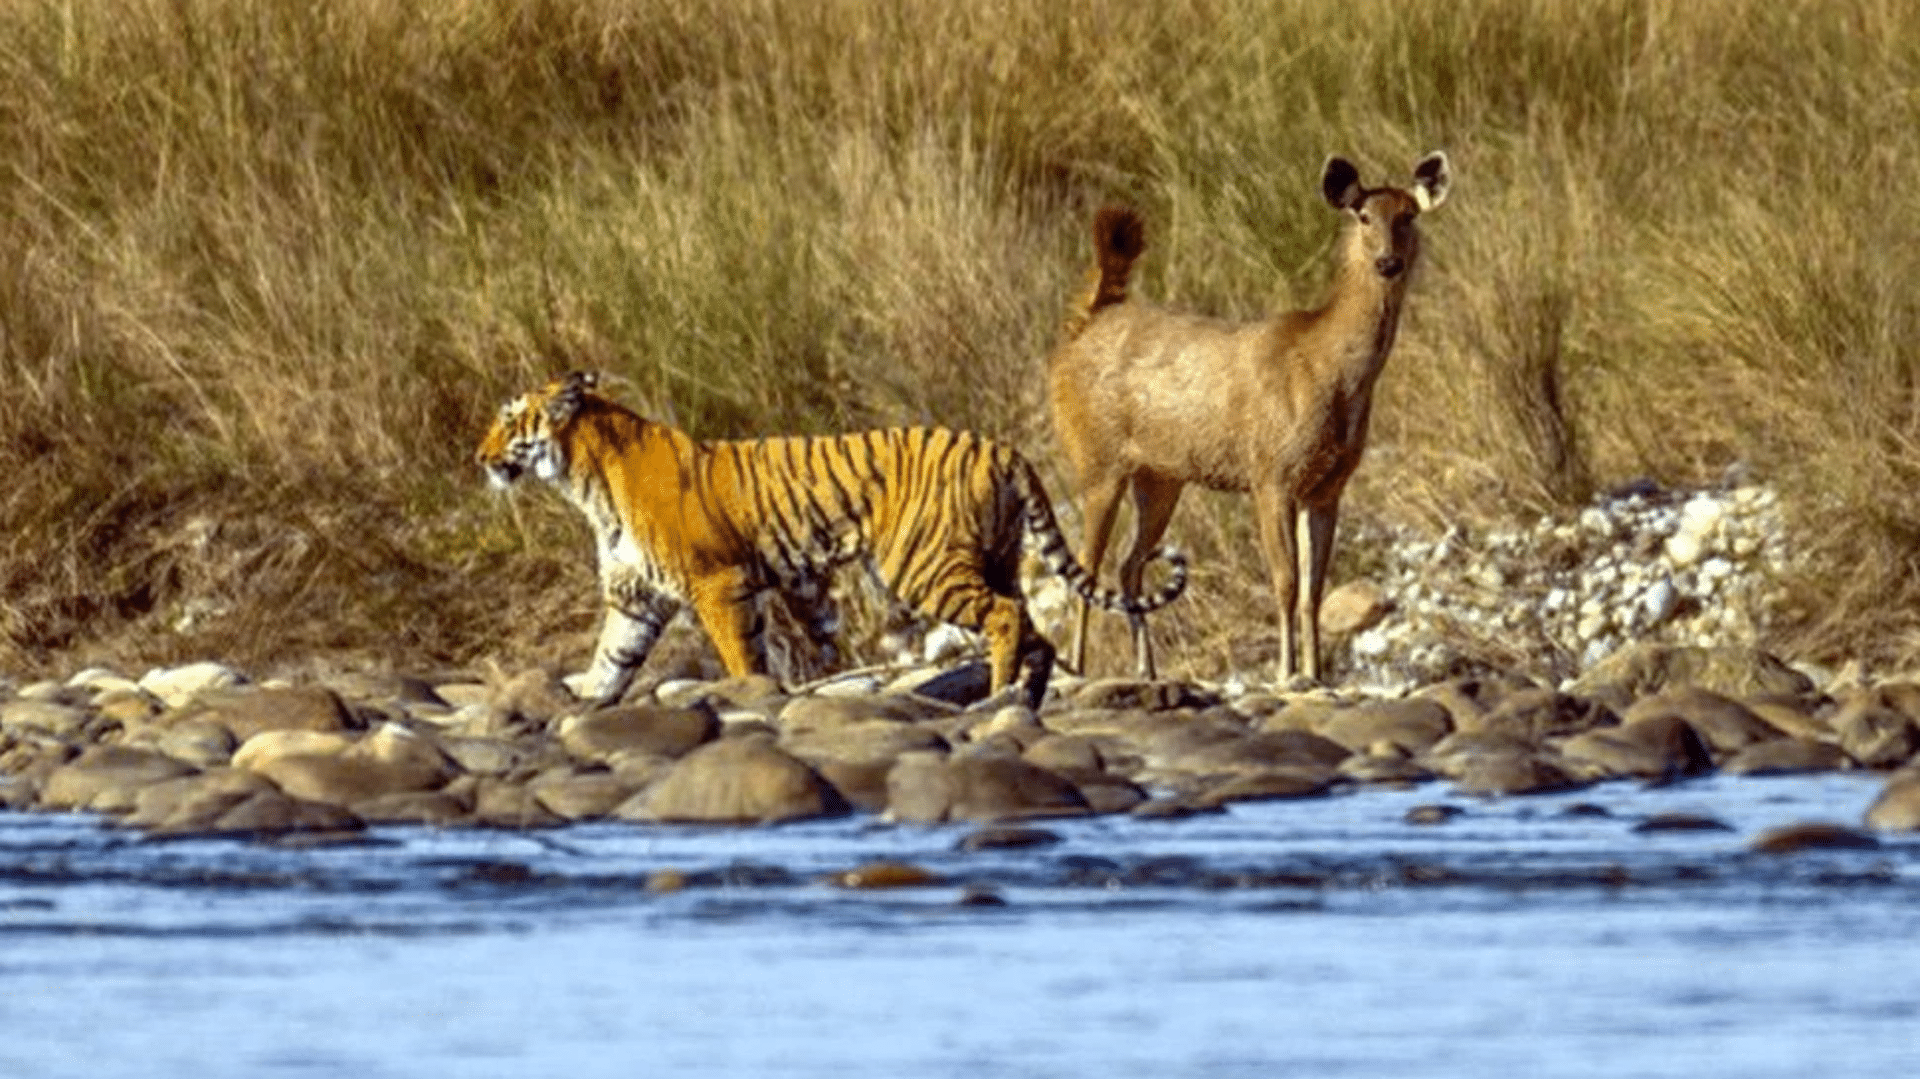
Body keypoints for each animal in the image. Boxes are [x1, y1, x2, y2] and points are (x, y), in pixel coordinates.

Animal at [474, 371, 1189, 708]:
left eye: (509, 419)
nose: (479, 456)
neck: (585, 482)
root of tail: (1003, 446)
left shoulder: (718, 584)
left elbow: (743, 657)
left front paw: (750, 701)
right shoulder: (636, 598)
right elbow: (609, 661)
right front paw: (581, 706)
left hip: (921, 566)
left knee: (1008, 615)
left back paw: (996, 695)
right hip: (995, 556)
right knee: (1035, 627)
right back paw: (1022, 697)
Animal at [1048, 151, 1450, 686]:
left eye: (1409, 215)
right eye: (1364, 216)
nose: (1388, 262)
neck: (1326, 368)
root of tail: (1084, 325)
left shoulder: (1328, 487)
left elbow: (1315, 589)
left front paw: (1316, 673)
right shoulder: (1270, 473)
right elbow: (1286, 581)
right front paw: (1285, 671)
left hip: (1160, 476)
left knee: (1127, 562)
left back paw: (1146, 668)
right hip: (1097, 457)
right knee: (1085, 564)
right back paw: (1076, 666)